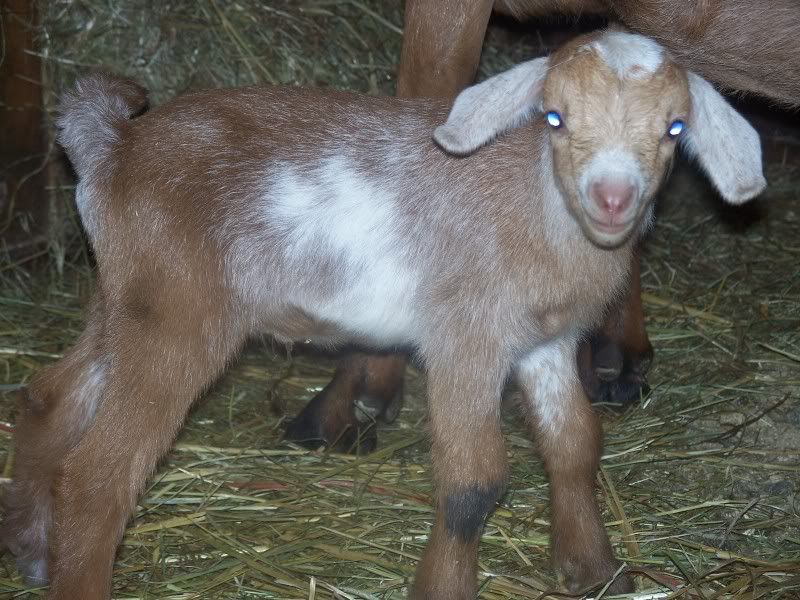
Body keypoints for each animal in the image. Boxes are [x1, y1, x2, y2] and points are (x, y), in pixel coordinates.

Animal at [1, 29, 764, 599]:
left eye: (674, 127)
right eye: (556, 116)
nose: (612, 198)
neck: (536, 206)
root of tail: (112, 146)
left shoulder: (544, 344)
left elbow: (576, 445)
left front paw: (596, 572)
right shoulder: (465, 339)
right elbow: (473, 482)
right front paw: (444, 589)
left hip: (127, 296)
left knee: (48, 397)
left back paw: (33, 552)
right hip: (177, 313)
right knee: (99, 473)